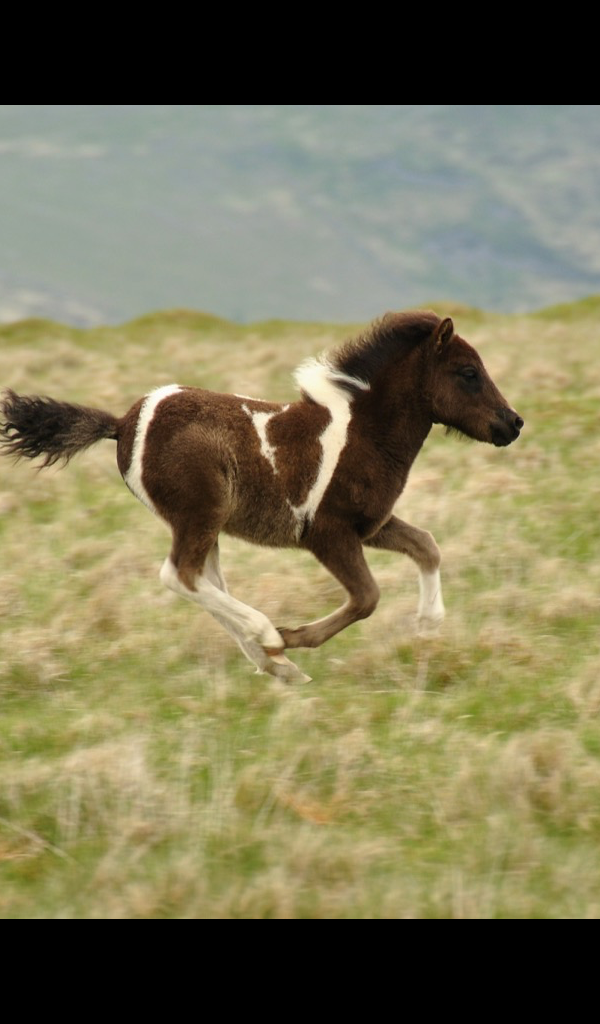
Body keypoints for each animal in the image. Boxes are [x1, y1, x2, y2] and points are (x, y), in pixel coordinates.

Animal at [0, 311, 523, 683]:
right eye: (468, 372)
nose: (513, 423)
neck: (363, 435)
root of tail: (124, 423)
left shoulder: (370, 526)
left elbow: (427, 545)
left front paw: (429, 624)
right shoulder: (328, 533)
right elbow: (367, 597)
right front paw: (292, 636)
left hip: (207, 522)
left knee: (205, 579)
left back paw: (274, 662)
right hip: (200, 513)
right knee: (180, 575)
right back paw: (268, 637)